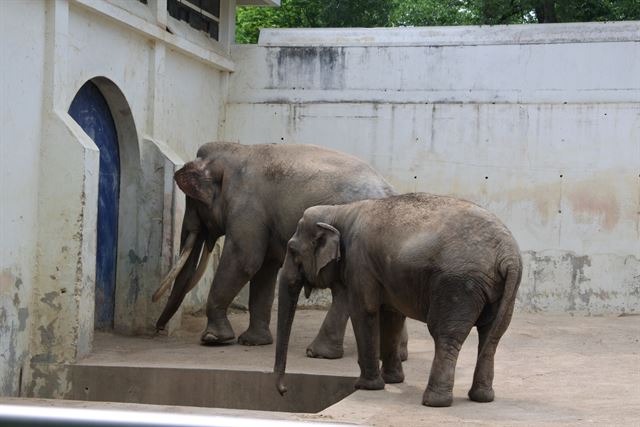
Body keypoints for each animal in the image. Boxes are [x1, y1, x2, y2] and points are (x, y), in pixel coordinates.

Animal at [274, 193, 520, 408]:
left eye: (292, 250)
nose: (284, 390)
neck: (339, 212)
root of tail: (508, 255)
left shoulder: (359, 262)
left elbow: (364, 311)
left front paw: (366, 386)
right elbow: (391, 316)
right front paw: (392, 380)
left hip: (458, 285)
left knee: (446, 335)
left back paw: (433, 402)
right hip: (501, 289)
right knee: (492, 336)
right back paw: (482, 398)